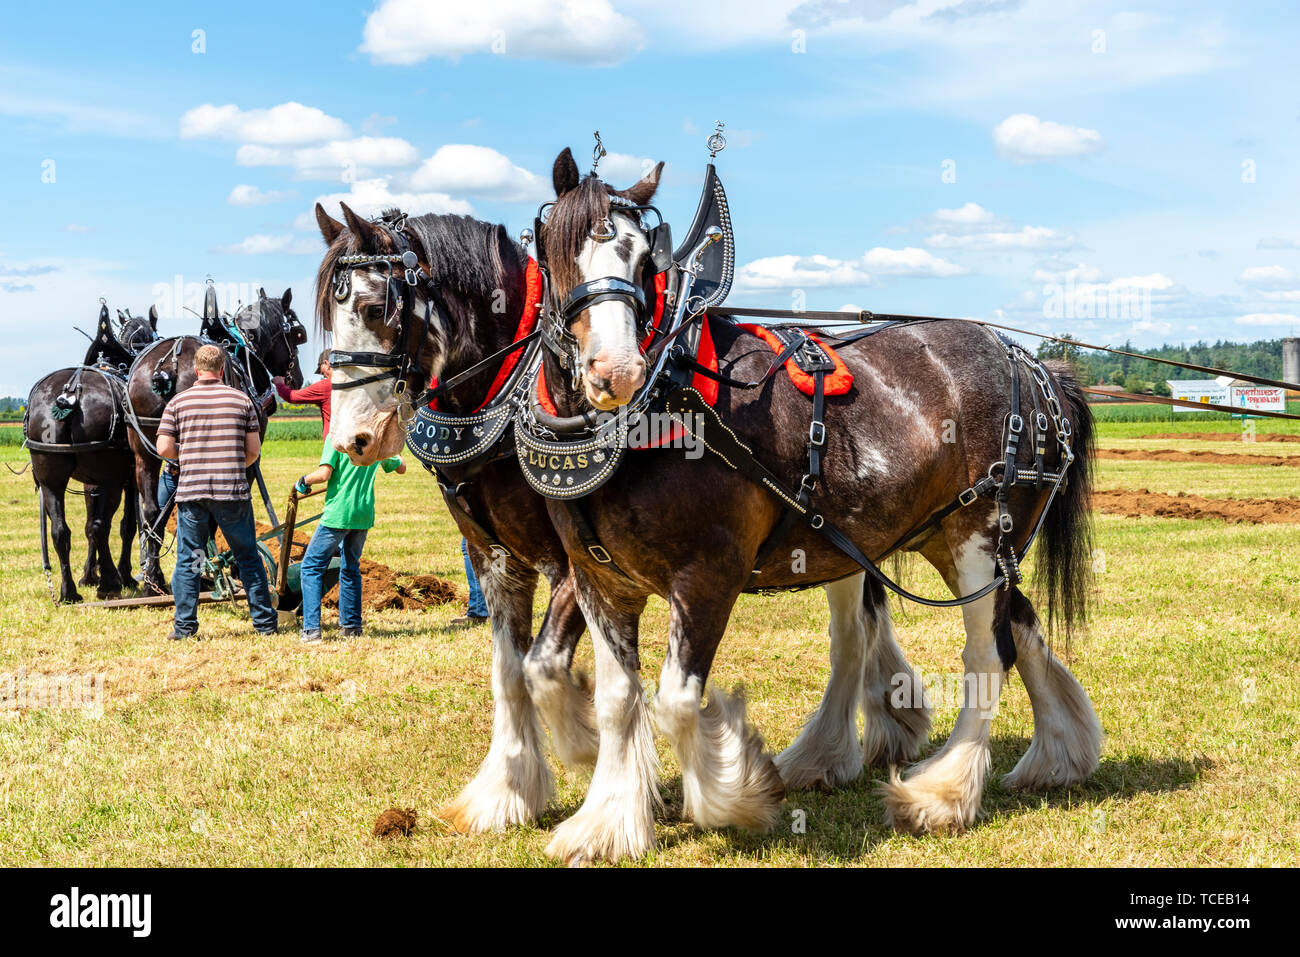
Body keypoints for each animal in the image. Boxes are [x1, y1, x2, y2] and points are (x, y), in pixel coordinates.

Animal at [24, 302, 159, 600]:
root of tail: (69, 393)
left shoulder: (91, 482)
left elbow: (87, 526)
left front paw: (88, 574)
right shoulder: (125, 479)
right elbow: (125, 526)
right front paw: (120, 574)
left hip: (50, 478)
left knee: (60, 531)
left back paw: (69, 591)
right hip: (111, 479)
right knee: (101, 526)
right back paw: (110, 581)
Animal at [125, 282, 305, 590]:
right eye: (296, 334)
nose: (299, 378)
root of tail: (167, 367)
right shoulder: (246, 460)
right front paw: (228, 567)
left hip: (144, 451)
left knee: (151, 509)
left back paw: (153, 579)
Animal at [314, 204, 598, 832]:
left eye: (374, 309)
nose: (351, 440)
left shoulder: (579, 564)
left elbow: (547, 669)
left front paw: (587, 739)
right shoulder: (495, 560)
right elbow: (510, 672)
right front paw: (507, 792)